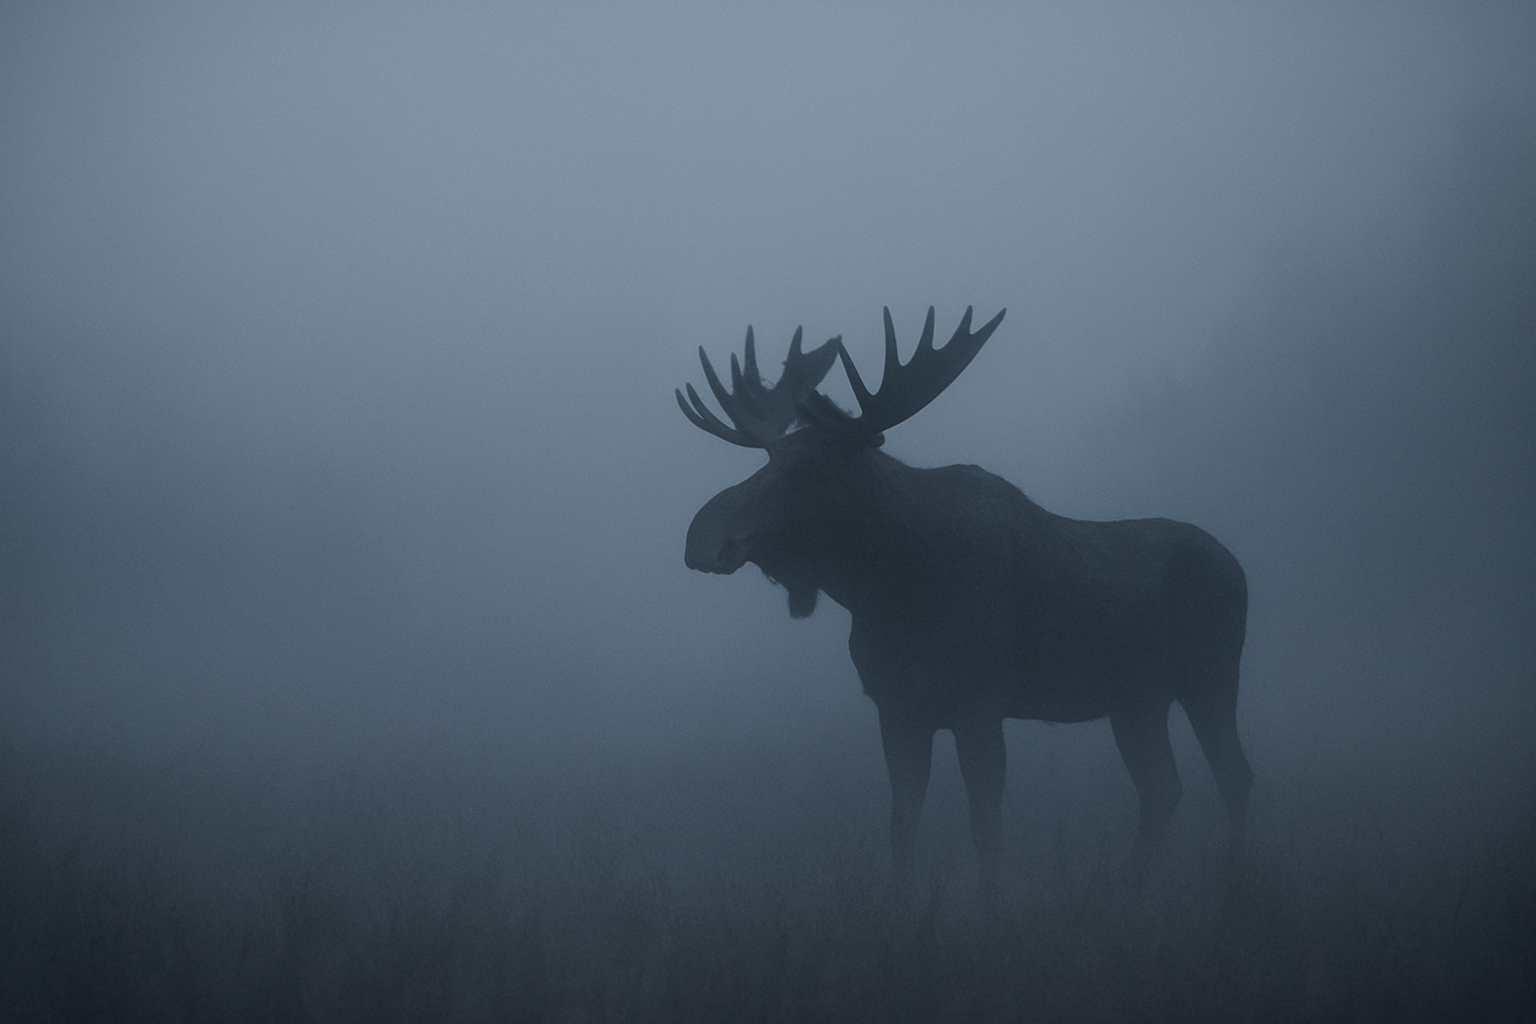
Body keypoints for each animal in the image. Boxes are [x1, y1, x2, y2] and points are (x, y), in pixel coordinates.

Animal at [677, 306, 1252, 896]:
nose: (702, 535)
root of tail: (1237, 566)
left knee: (1233, 773)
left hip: (1211, 675)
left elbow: (986, 828)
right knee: (1163, 787)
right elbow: (902, 825)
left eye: (812, 470)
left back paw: (1233, 878)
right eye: (769, 458)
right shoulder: (897, 707)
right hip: (1137, 700)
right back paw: (1124, 887)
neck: (886, 591)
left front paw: (989, 904)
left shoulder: (979, 705)